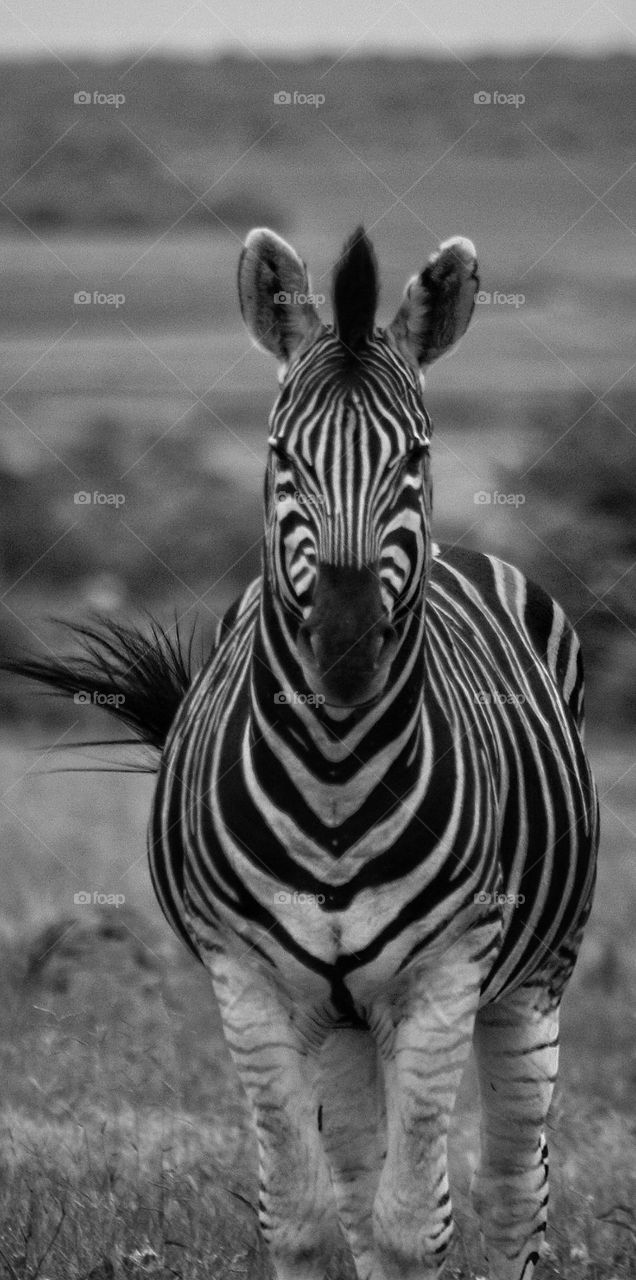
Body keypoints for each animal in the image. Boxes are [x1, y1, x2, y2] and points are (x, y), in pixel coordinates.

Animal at [14, 227, 599, 1280]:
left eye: (417, 454)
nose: (346, 645)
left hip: (536, 976)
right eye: (283, 453)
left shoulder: (447, 974)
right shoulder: (248, 983)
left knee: (510, 1192)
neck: (334, 773)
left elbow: (415, 1227)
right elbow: (308, 1219)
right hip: (345, 1020)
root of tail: (467, 552)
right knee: (364, 1187)